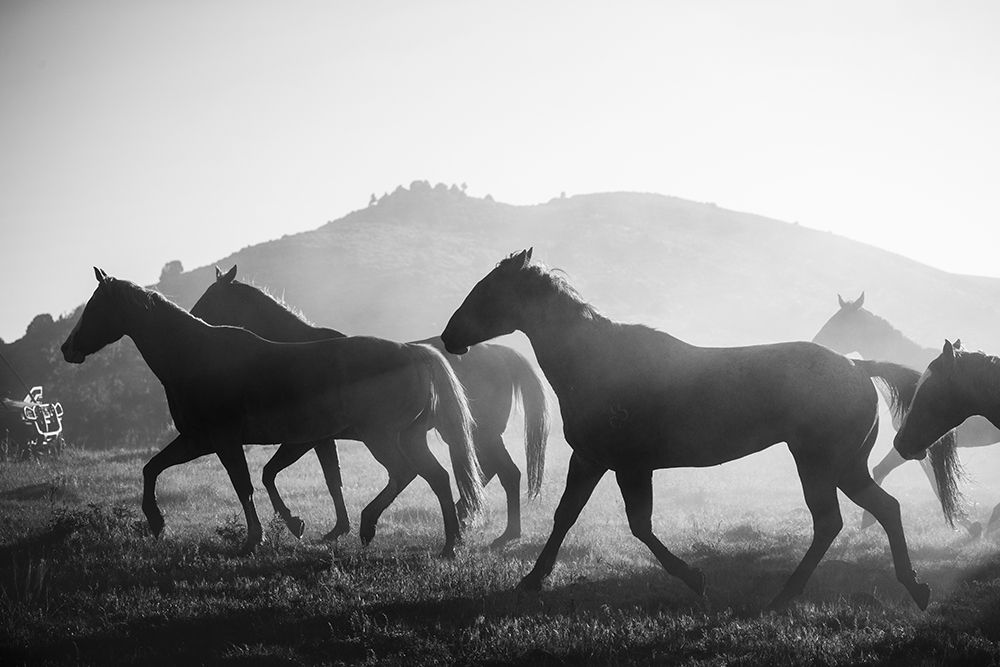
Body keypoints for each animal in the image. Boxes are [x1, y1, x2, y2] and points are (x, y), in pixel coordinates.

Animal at [61, 268, 484, 556]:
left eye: (95, 308)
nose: (67, 349)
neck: (197, 357)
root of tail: (414, 352)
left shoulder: (224, 441)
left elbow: (246, 484)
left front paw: (256, 538)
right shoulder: (200, 441)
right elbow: (153, 469)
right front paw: (157, 522)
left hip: (380, 437)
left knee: (405, 473)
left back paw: (369, 526)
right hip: (408, 437)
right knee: (437, 477)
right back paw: (449, 545)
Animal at [191, 264, 552, 552]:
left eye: (211, 298)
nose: (193, 318)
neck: (298, 351)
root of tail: (504, 354)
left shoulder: (313, 438)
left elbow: (315, 477)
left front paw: (331, 528)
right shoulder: (323, 440)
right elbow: (332, 478)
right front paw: (337, 528)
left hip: (475, 434)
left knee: (499, 472)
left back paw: (490, 529)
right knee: (495, 472)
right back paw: (479, 525)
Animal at [444, 249, 960, 612]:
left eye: (489, 291)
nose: (450, 337)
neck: (596, 361)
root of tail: (858, 368)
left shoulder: (629, 465)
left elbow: (640, 525)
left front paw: (695, 578)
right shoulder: (590, 459)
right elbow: (565, 516)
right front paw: (532, 579)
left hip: (820, 464)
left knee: (832, 521)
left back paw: (784, 597)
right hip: (845, 467)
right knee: (883, 509)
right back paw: (913, 589)